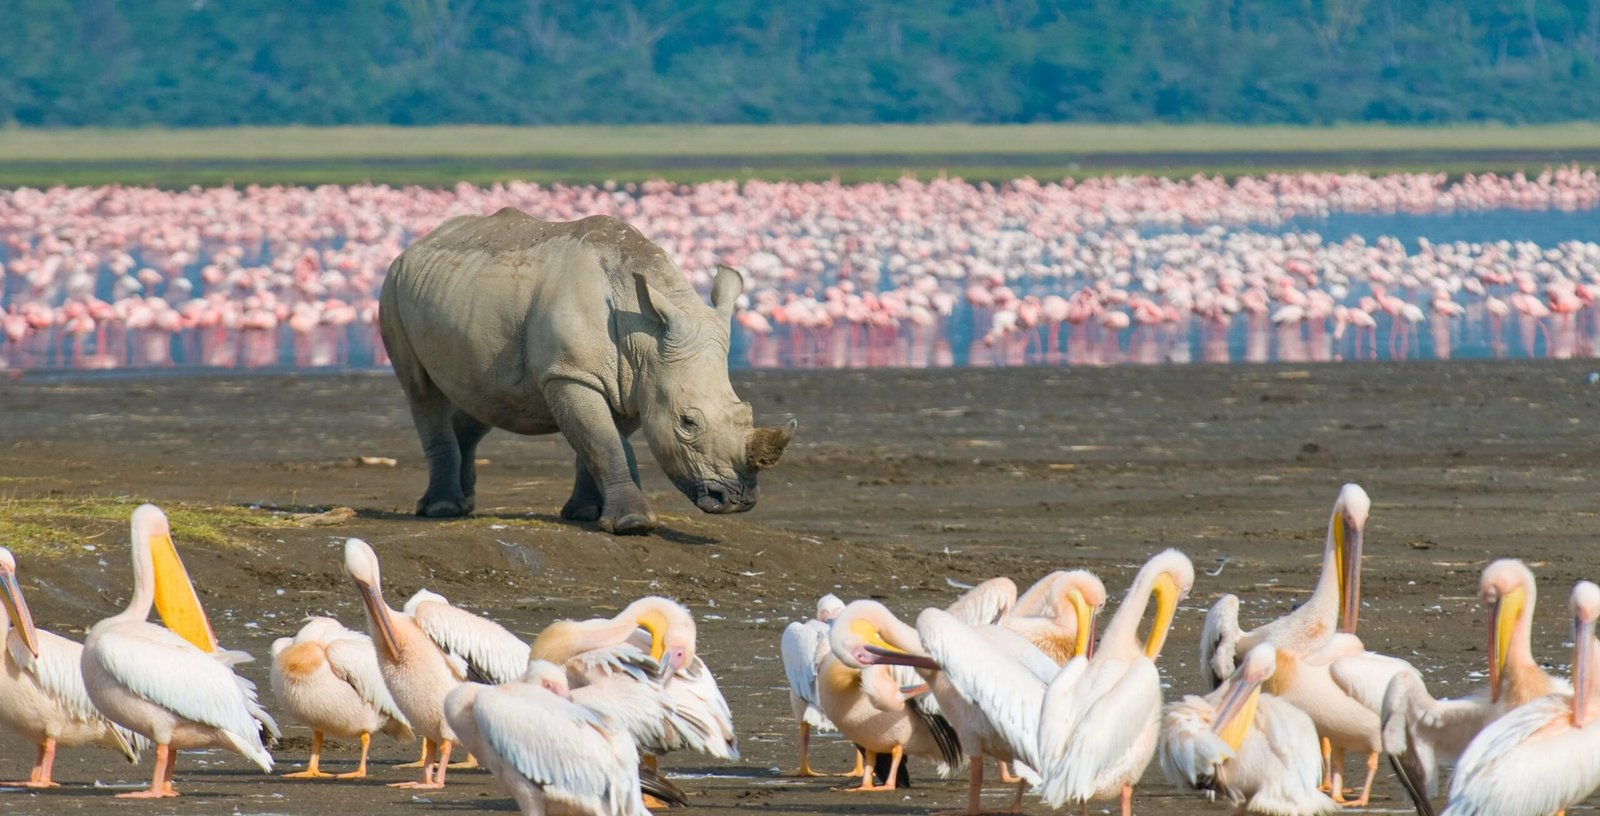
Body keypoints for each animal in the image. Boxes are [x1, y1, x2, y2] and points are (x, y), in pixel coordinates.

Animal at [378, 208, 795, 535]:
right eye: (687, 422)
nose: (738, 500)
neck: (643, 333)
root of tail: (419, 243)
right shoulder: (571, 373)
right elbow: (602, 440)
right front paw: (632, 525)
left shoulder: (635, 380)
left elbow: (602, 441)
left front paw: (586, 514)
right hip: (392, 287)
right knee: (423, 392)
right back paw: (441, 510)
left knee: (483, 398)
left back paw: (463, 506)